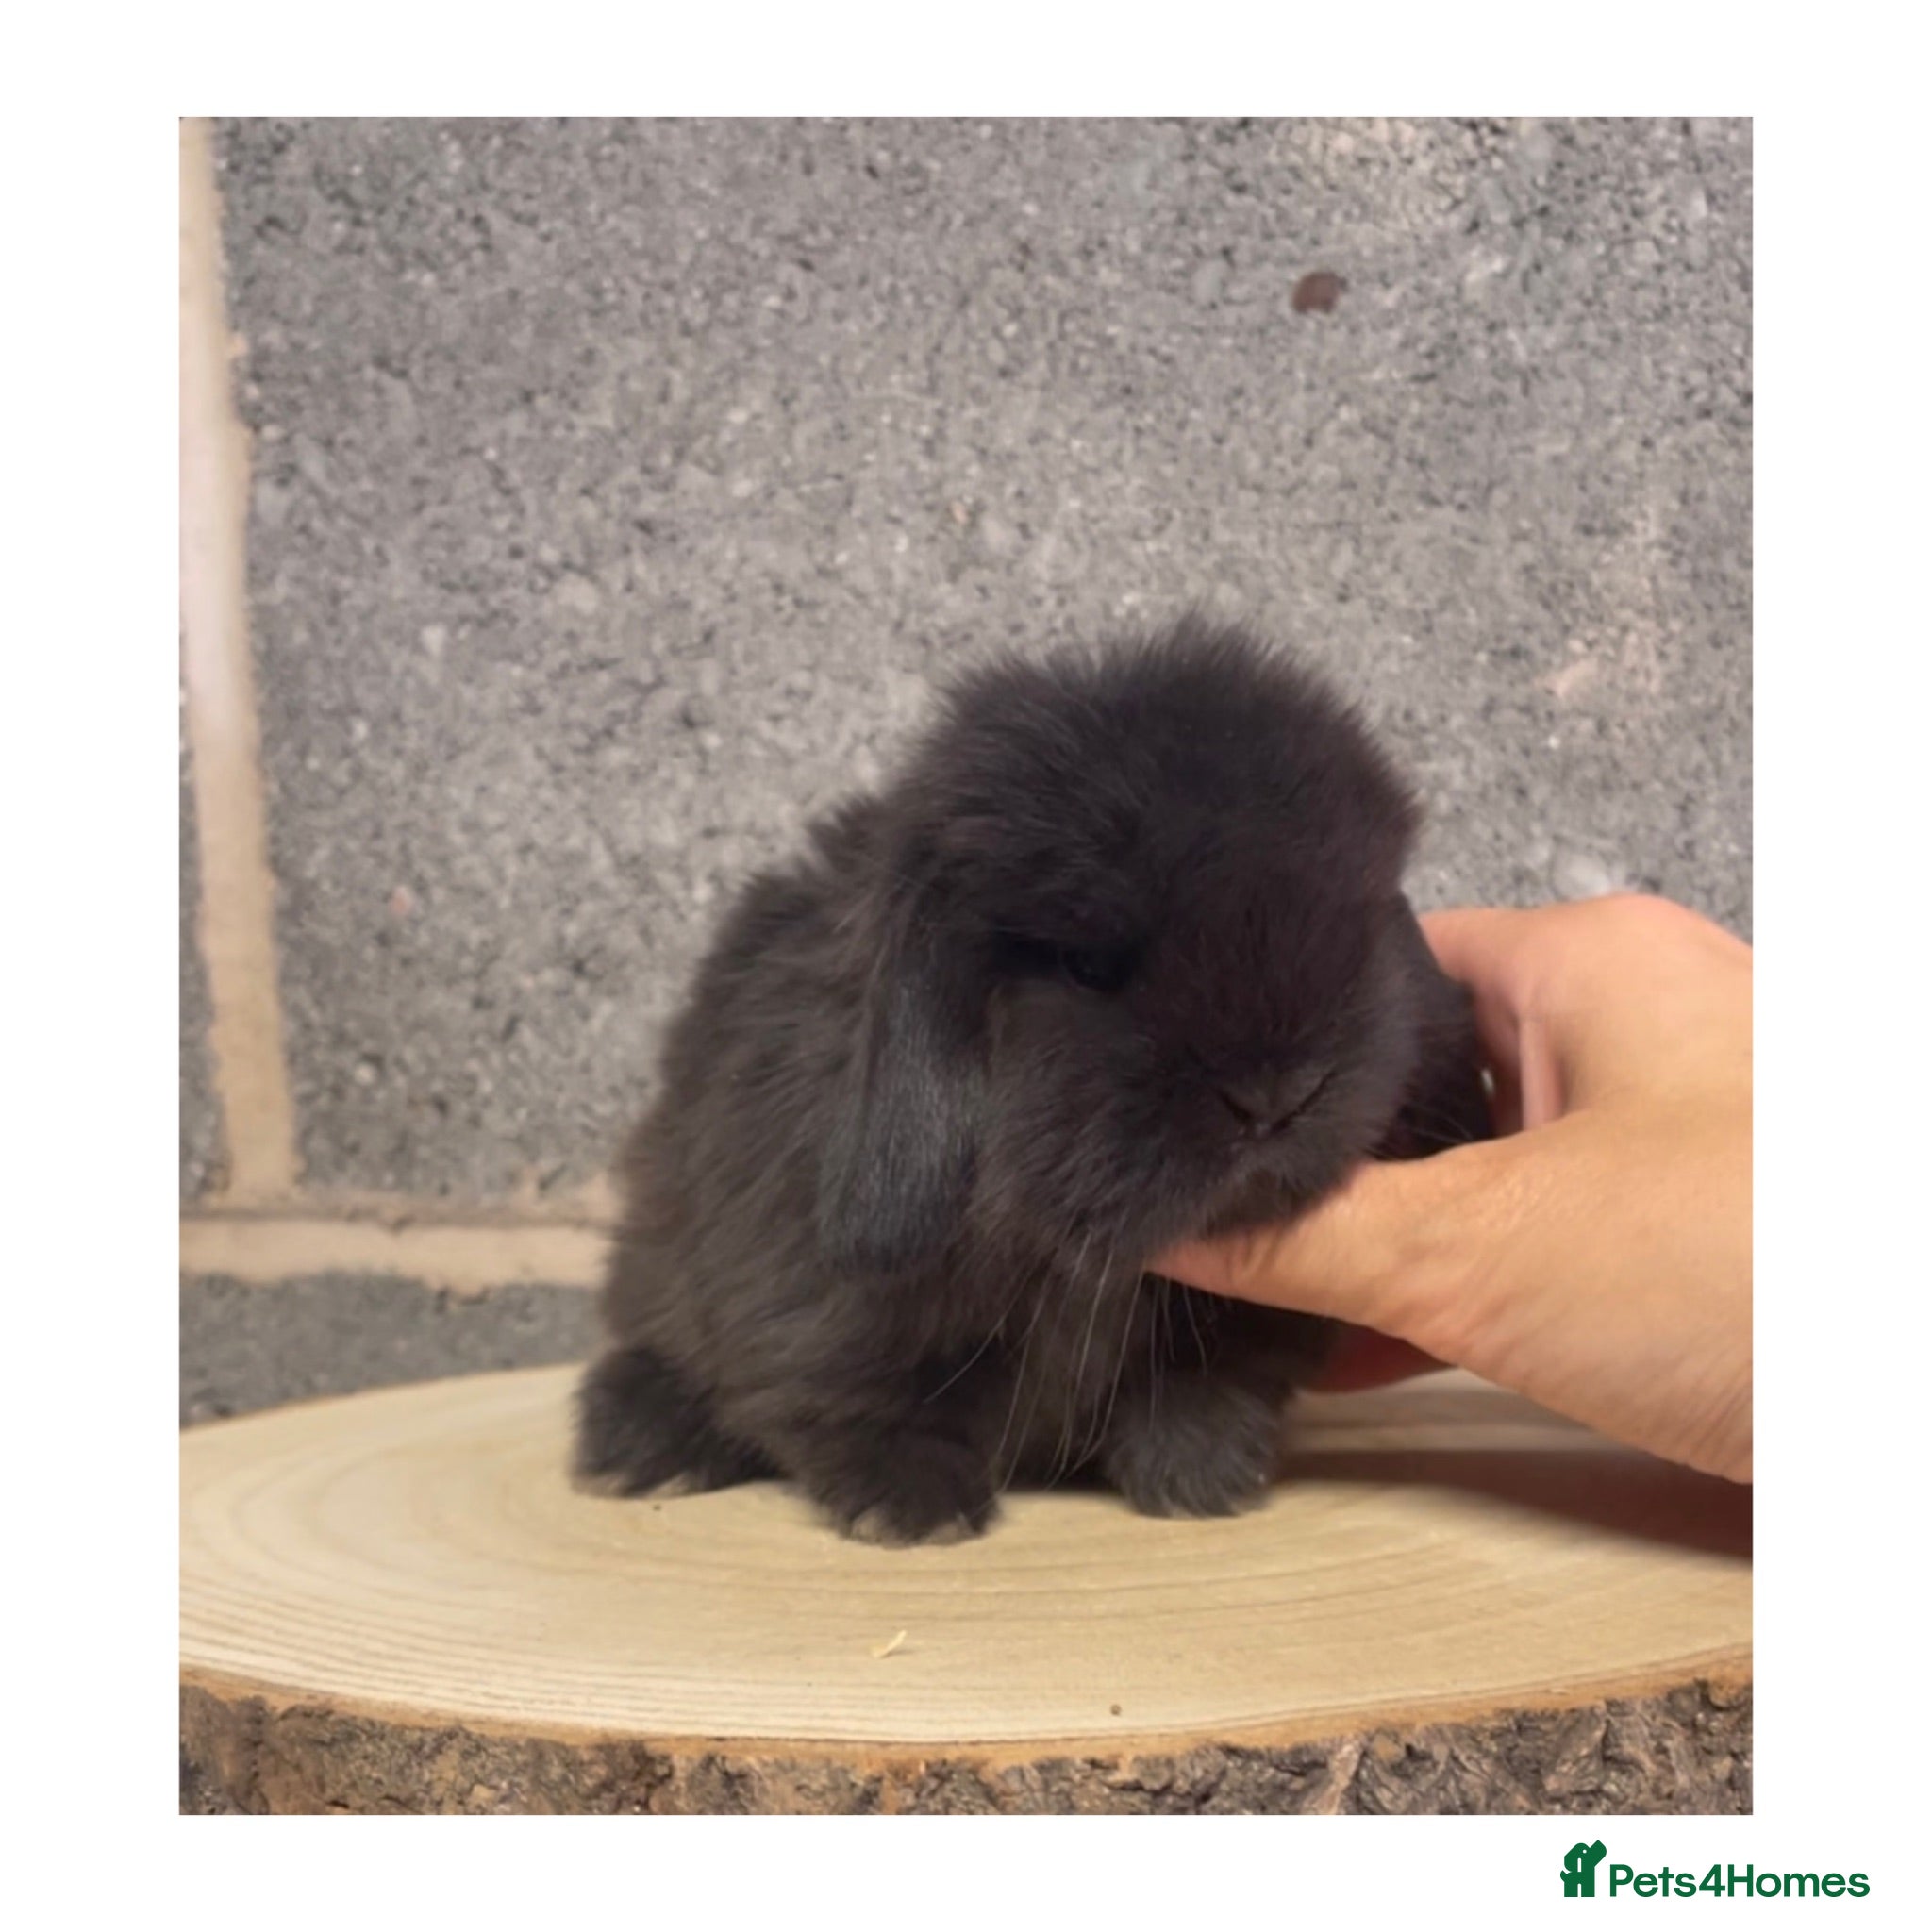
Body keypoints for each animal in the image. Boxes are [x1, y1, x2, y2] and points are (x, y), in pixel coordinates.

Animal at [574, 616, 1492, 1543]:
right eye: (1088, 964)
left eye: (1357, 930)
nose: (1277, 1096)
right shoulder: (810, 1304)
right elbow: (840, 1391)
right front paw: (909, 1509)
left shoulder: (1231, 1341)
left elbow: (1202, 1389)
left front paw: (1200, 1480)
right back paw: (636, 1446)